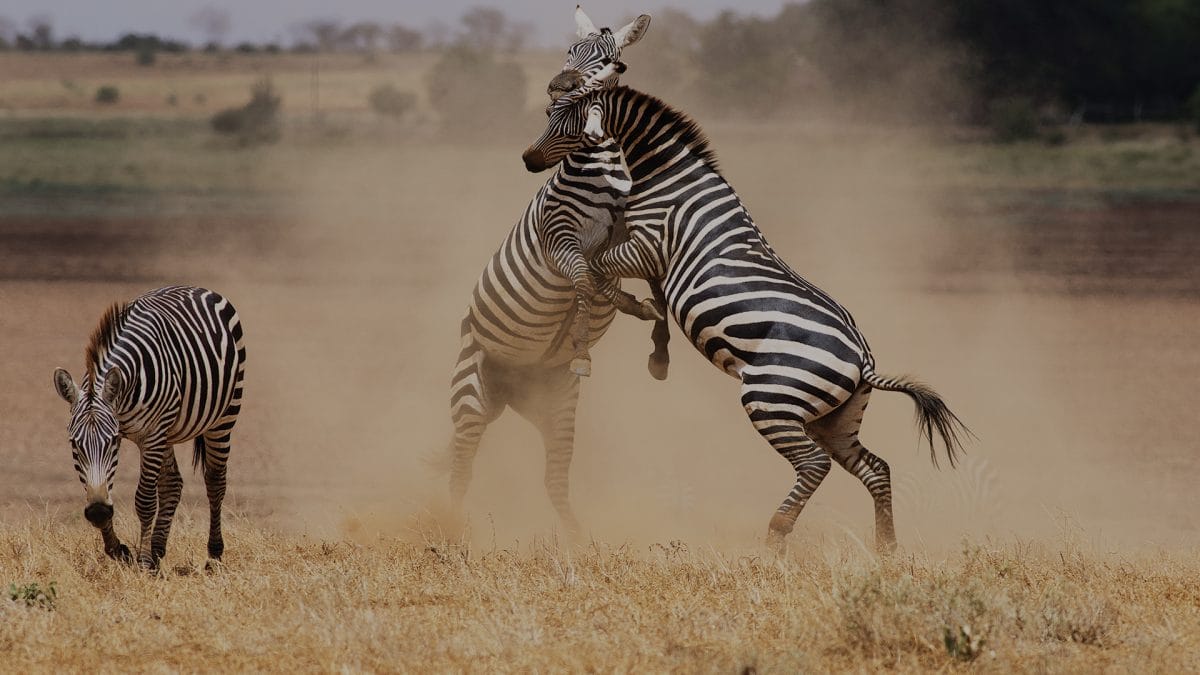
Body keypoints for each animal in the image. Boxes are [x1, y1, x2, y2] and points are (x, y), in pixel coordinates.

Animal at [52, 285, 246, 569]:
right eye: (74, 444)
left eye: (112, 441)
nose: (97, 512)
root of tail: (196, 288)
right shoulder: (143, 433)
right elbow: (98, 487)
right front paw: (118, 549)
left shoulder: (152, 435)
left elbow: (144, 500)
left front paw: (143, 562)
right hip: (168, 431)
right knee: (172, 484)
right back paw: (157, 550)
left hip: (224, 416)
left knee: (215, 481)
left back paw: (213, 555)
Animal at [521, 84, 972, 553]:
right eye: (549, 114)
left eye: (564, 122)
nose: (528, 160)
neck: (667, 176)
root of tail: (864, 361)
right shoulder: (648, 254)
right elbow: (629, 283)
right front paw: (654, 336)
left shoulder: (647, 245)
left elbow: (597, 268)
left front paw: (626, 315)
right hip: (837, 418)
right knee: (874, 468)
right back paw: (886, 548)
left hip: (771, 400)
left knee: (815, 464)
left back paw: (778, 532)